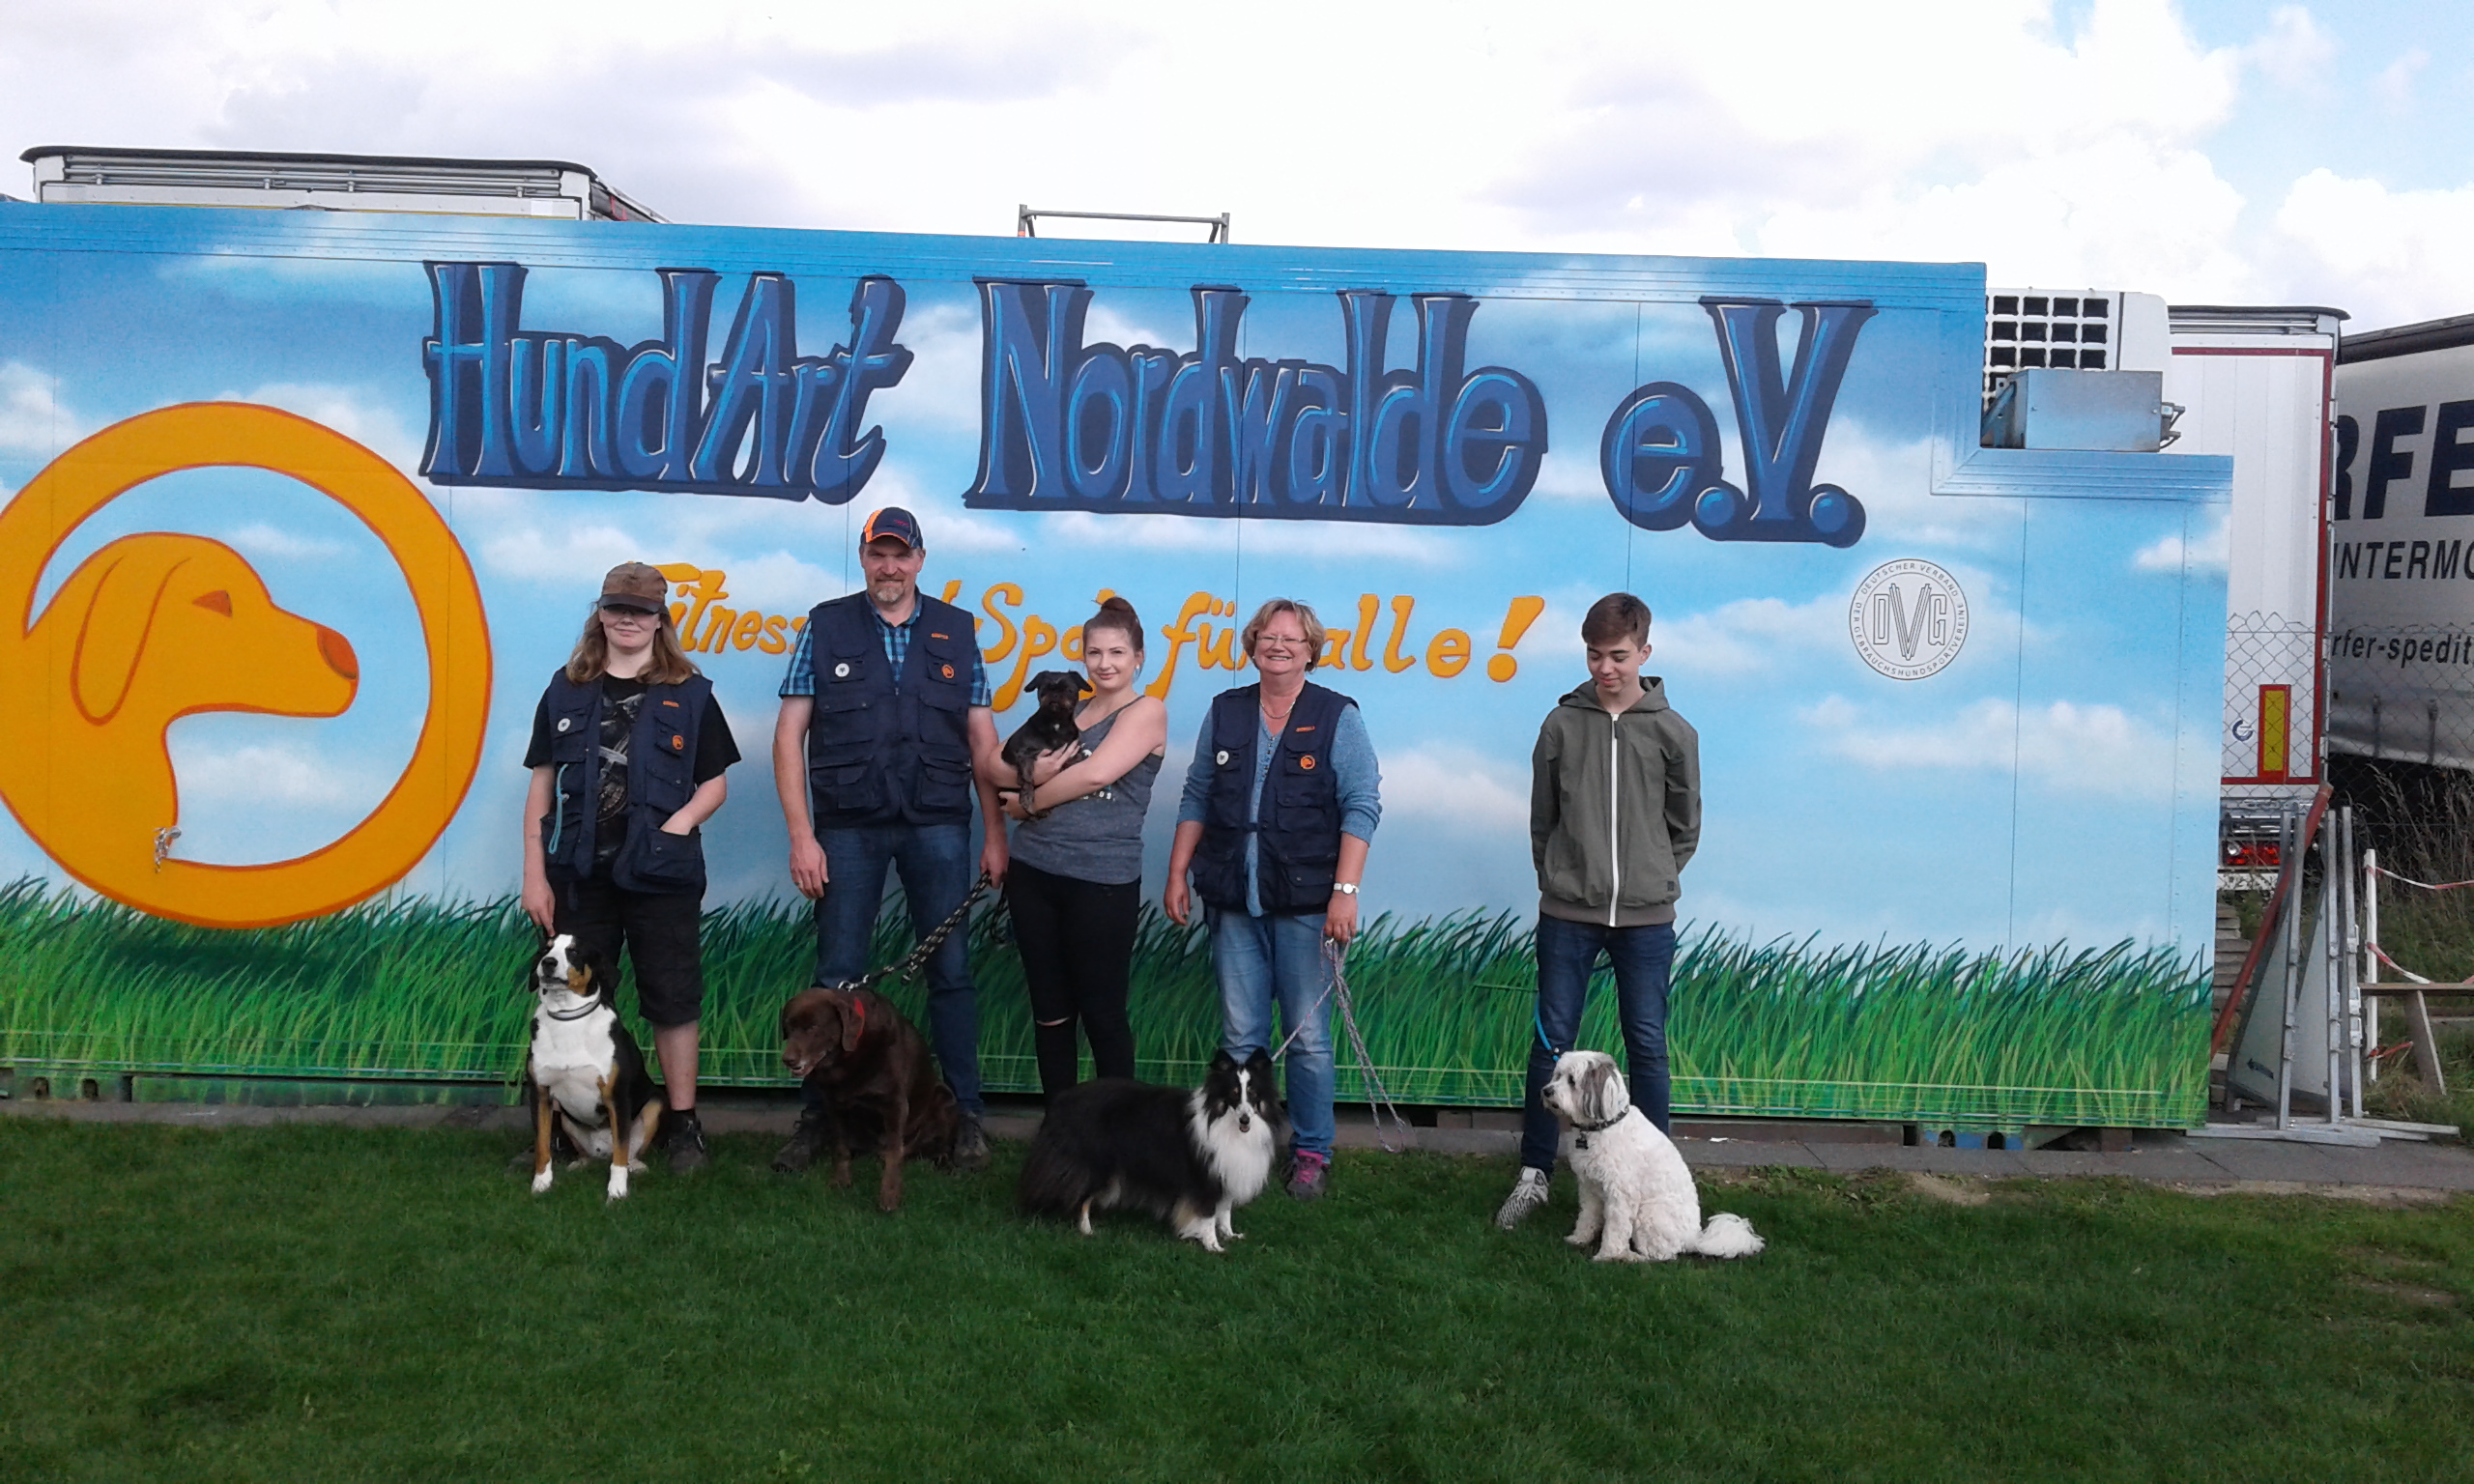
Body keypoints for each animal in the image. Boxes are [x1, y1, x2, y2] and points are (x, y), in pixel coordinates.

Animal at [524, 934, 665, 1201]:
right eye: (546, 949)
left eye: (574, 952)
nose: (548, 963)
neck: (567, 1018)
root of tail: (601, 1150)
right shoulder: (541, 1095)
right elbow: (542, 1146)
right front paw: (541, 1183)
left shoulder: (616, 1096)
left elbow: (620, 1153)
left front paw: (617, 1191)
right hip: (565, 1118)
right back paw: (581, 1163)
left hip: (655, 1104)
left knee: (627, 1152)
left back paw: (635, 1166)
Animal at [778, 984, 960, 1211]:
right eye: (789, 1027)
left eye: (812, 1027)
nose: (787, 1060)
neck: (848, 1056)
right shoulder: (834, 1104)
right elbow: (840, 1147)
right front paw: (841, 1181)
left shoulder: (895, 1105)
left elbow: (894, 1153)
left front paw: (889, 1196)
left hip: (945, 1099)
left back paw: (946, 1165)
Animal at [999, 669, 1092, 818]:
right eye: (1044, 688)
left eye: (1069, 690)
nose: (1055, 694)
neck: (1056, 723)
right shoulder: (1024, 754)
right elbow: (1027, 775)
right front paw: (1026, 797)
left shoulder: (1069, 750)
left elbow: (1073, 758)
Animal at [1017, 1050, 1288, 1252]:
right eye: (1233, 1093)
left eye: (1252, 1094)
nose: (1245, 1119)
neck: (1222, 1119)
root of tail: (1062, 1100)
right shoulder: (1203, 1177)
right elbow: (1209, 1213)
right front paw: (1213, 1246)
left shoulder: (1225, 1170)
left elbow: (1225, 1210)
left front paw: (1230, 1235)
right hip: (1096, 1164)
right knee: (1083, 1198)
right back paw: (1088, 1230)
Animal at [1542, 1050, 1763, 1262]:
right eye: (1557, 1075)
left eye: (1572, 1080)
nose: (1546, 1091)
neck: (1604, 1126)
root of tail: (1693, 1239)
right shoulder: (1589, 1188)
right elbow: (1587, 1217)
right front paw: (1579, 1238)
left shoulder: (1621, 1194)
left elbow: (1615, 1229)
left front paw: (1607, 1256)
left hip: (1648, 1214)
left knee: (1662, 1255)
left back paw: (1633, 1257)